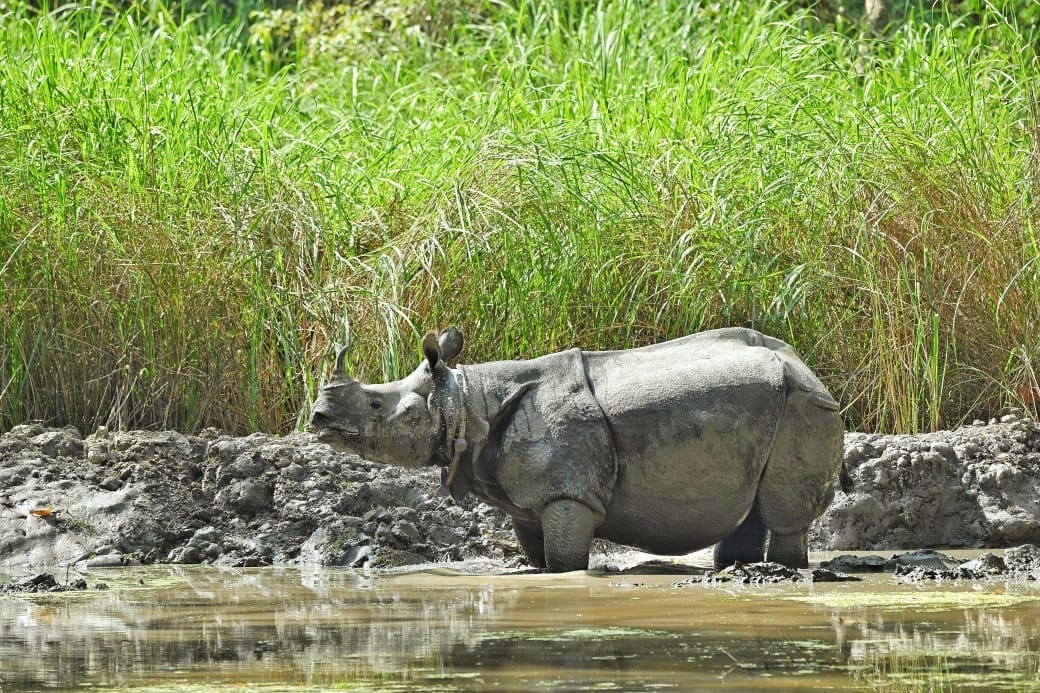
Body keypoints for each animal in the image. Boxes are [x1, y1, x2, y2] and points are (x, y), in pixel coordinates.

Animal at [309, 327, 846, 572]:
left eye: (376, 405)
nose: (317, 419)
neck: (463, 401)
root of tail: (807, 369)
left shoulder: (567, 494)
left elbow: (565, 562)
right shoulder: (525, 500)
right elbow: (537, 555)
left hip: (804, 406)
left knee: (784, 512)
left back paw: (784, 570)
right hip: (776, 407)